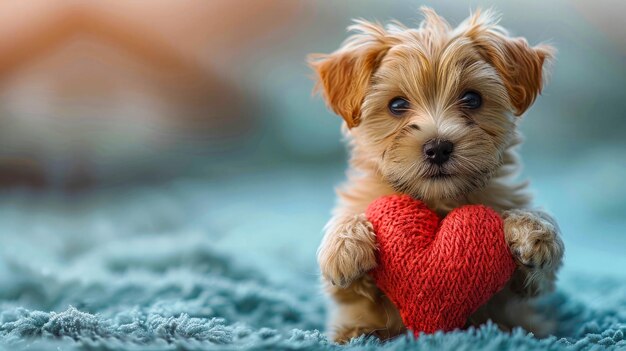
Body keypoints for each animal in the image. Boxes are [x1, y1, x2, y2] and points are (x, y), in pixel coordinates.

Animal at [310, 7, 564, 344]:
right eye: (397, 104)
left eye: (472, 99)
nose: (438, 147)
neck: (438, 202)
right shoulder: (347, 297)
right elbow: (344, 279)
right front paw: (344, 244)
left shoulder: (522, 298)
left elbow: (538, 274)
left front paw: (534, 231)